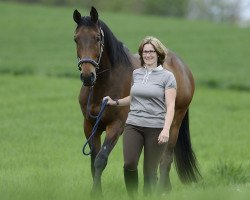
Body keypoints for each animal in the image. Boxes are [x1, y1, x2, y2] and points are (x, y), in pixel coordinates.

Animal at [73, 7, 201, 195]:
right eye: (76, 38)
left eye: (97, 38)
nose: (88, 76)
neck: (106, 84)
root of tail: (182, 67)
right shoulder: (90, 126)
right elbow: (93, 160)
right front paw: (96, 192)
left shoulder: (116, 126)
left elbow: (101, 159)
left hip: (174, 123)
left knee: (166, 159)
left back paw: (160, 190)